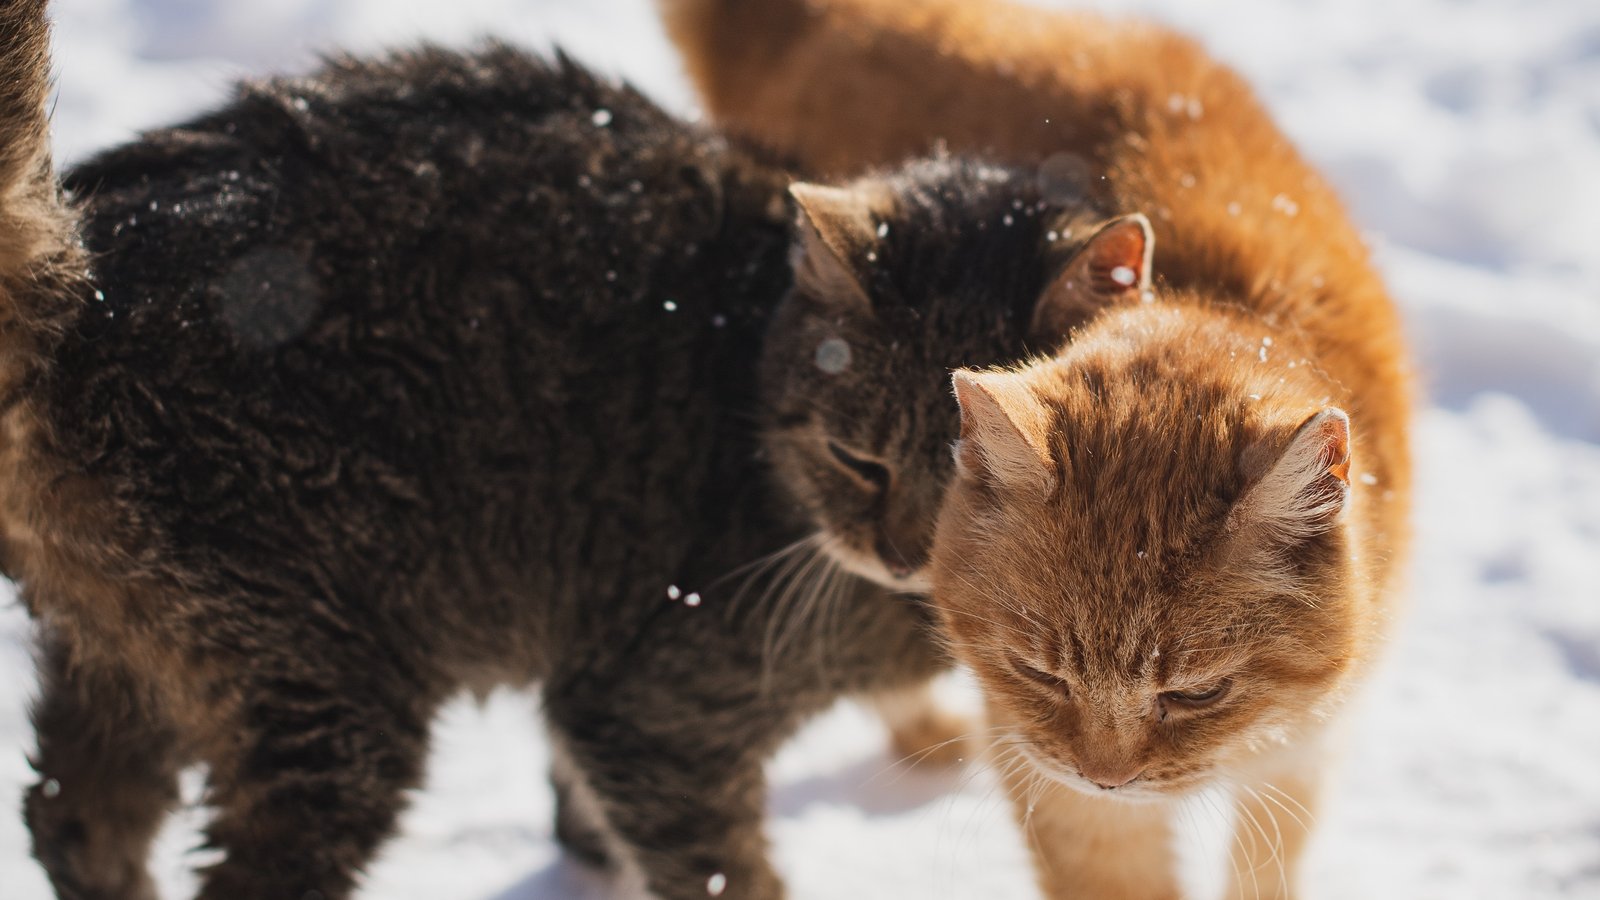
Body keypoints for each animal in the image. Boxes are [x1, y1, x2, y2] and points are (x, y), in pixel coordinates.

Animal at [0, 3, 1152, 890]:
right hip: (324, 690)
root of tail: (89, 280)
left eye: (959, 467)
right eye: (856, 457)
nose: (900, 553)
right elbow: (721, 868)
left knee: (73, 817)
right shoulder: (655, 711)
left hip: (121, 652)